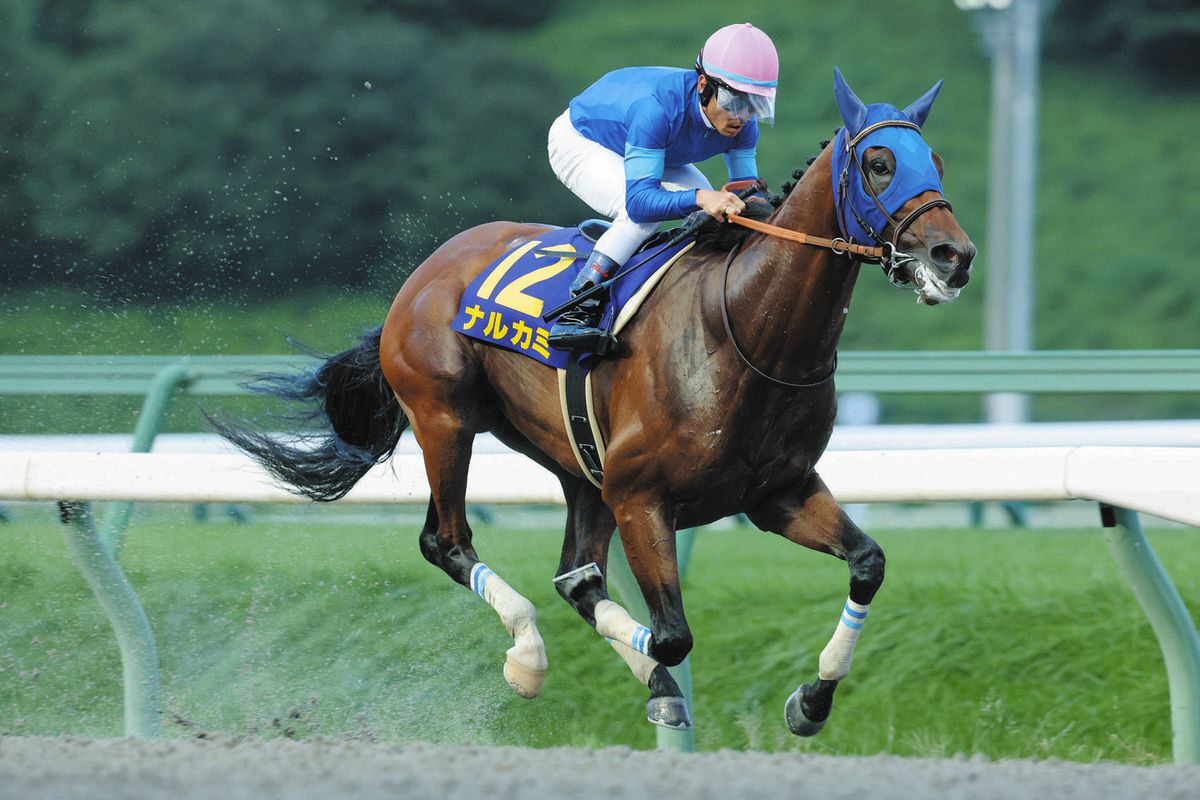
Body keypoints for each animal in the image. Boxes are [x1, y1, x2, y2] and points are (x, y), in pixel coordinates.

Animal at [214, 69, 975, 737]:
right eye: (878, 162)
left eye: (934, 159)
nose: (954, 256)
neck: (745, 330)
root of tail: (428, 269)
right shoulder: (642, 498)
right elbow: (671, 636)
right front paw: (637, 677)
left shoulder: (775, 492)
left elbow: (868, 564)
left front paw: (810, 702)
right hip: (445, 418)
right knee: (448, 541)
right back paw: (526, 657)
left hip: (578, 462)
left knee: (573, 574)